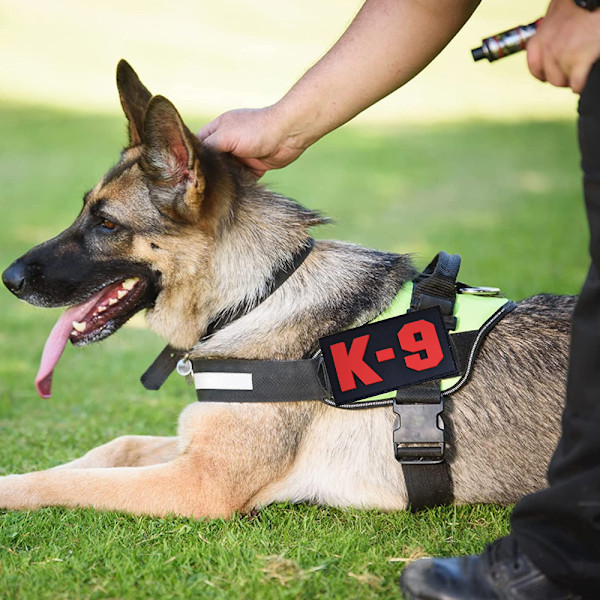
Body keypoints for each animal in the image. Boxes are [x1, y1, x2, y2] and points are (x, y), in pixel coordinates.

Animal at [0, 62, 572, 520]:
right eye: (84, 210)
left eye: (106, 224)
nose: (9, 279)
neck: (255, 298)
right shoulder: (187, 450)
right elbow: (112, 448)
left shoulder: (197, 484)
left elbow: (64, 481)